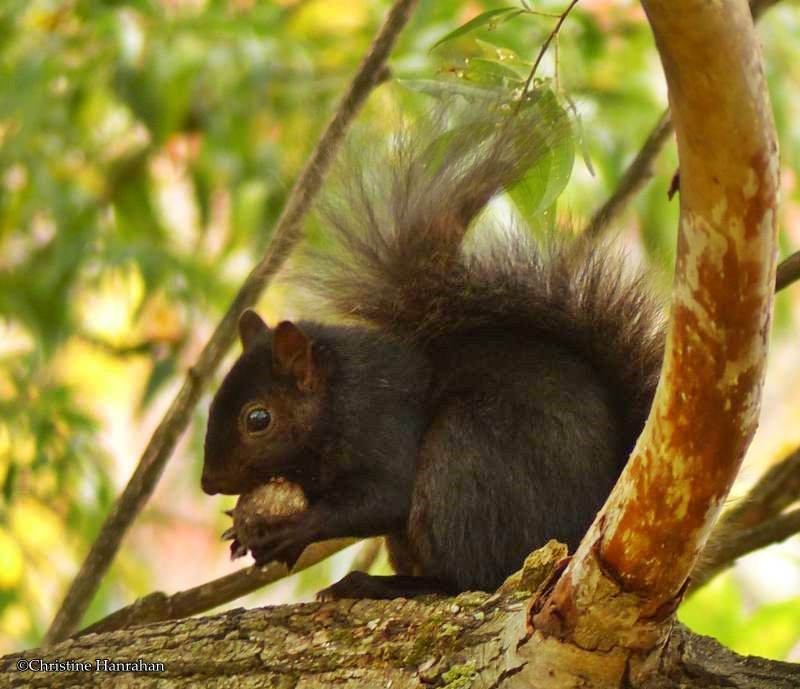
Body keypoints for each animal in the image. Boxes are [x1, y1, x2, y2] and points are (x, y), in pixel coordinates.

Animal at [203, 101, 664, 596]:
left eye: (258, 419)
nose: (209, 483)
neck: (336, 397)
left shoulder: (382, 425)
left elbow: (382, 498)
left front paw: (294, 530)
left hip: (465, 463)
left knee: (470, 578)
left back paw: (384, 585)